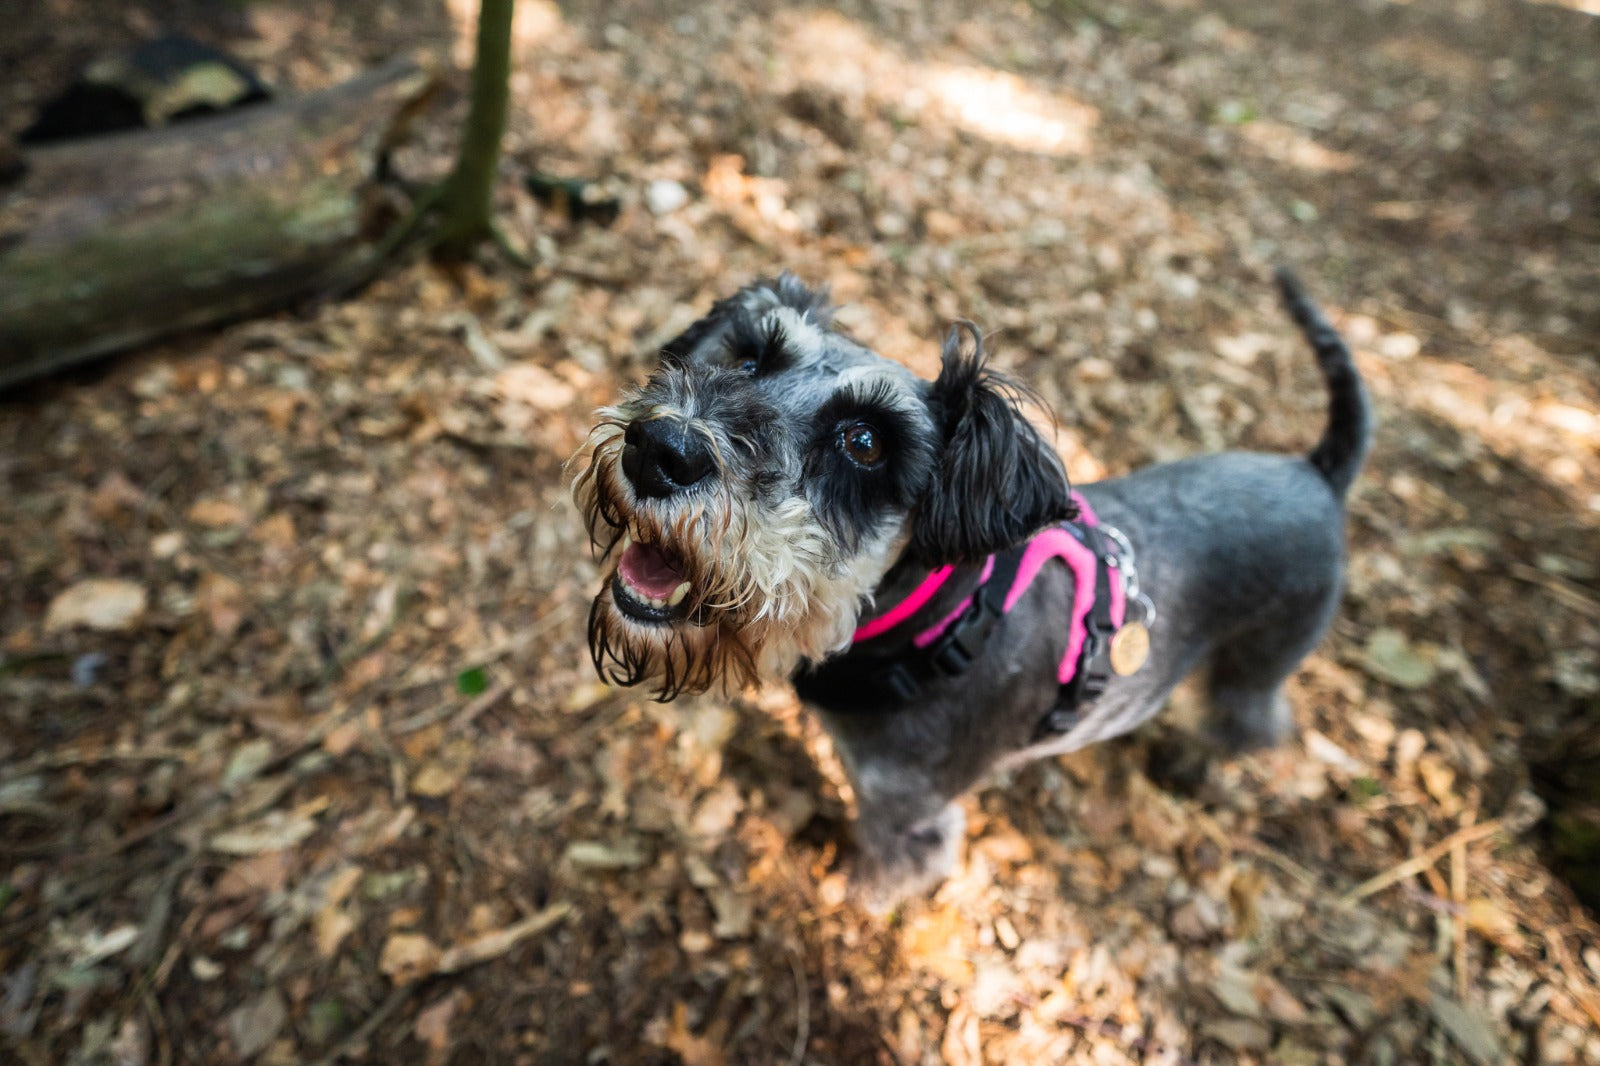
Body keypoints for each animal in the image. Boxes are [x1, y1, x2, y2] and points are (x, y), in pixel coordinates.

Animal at [569, 267, 1369, 902]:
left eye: (866, 441)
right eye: (748, 356)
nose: (659, 450)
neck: (932, 625)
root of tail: (1317, 473)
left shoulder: (909, 816)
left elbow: (883, 876)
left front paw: (851, 904)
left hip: (1257, 663)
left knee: (1257, 723)